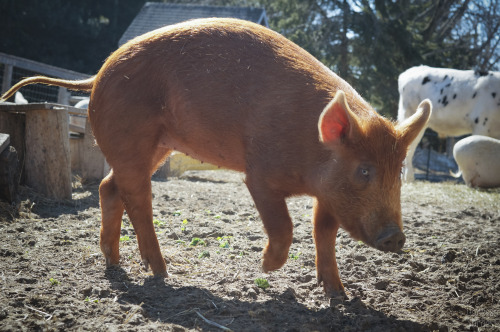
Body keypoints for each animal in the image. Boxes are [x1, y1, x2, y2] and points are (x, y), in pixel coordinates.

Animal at [0, 18, 430, 298]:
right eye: (364, 170)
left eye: (398, 174)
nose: (396, 237)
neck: (313, 153)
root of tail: (97, 73)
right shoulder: (260, 174)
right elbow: (285, 225)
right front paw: (265, 268)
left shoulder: (328, 194)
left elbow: (323, 232)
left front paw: (339, 295)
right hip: (133, 139)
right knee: (137, 199)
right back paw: (161, 272)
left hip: (156, 147)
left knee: (110, 187)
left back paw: (115, 263)